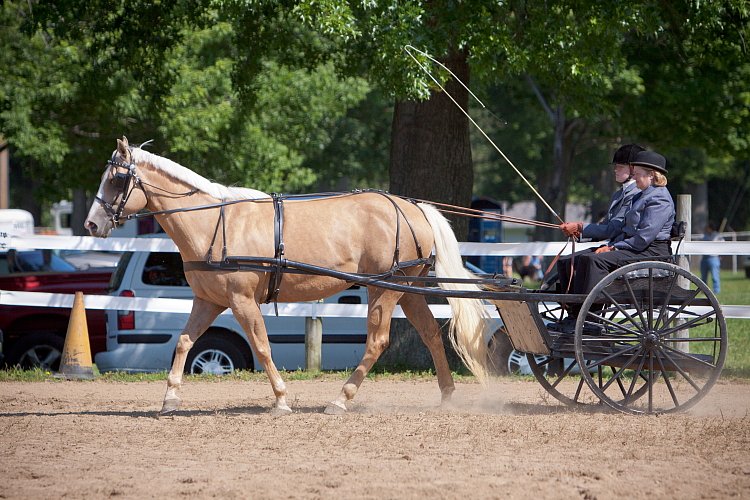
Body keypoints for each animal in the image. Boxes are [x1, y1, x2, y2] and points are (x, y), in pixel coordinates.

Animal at [86, 137, 494, 414]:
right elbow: (185, 342)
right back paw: (446, 395)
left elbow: (262, 346)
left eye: (116, 179)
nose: (91, 223)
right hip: (407, 289)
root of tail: (412, 207)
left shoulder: (241, 300)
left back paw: (340, 400)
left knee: (378, 342)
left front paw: (281, 399)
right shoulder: (209, 300)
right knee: (431, 335)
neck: (214, 223)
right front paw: (170, 397)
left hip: (385, 290)